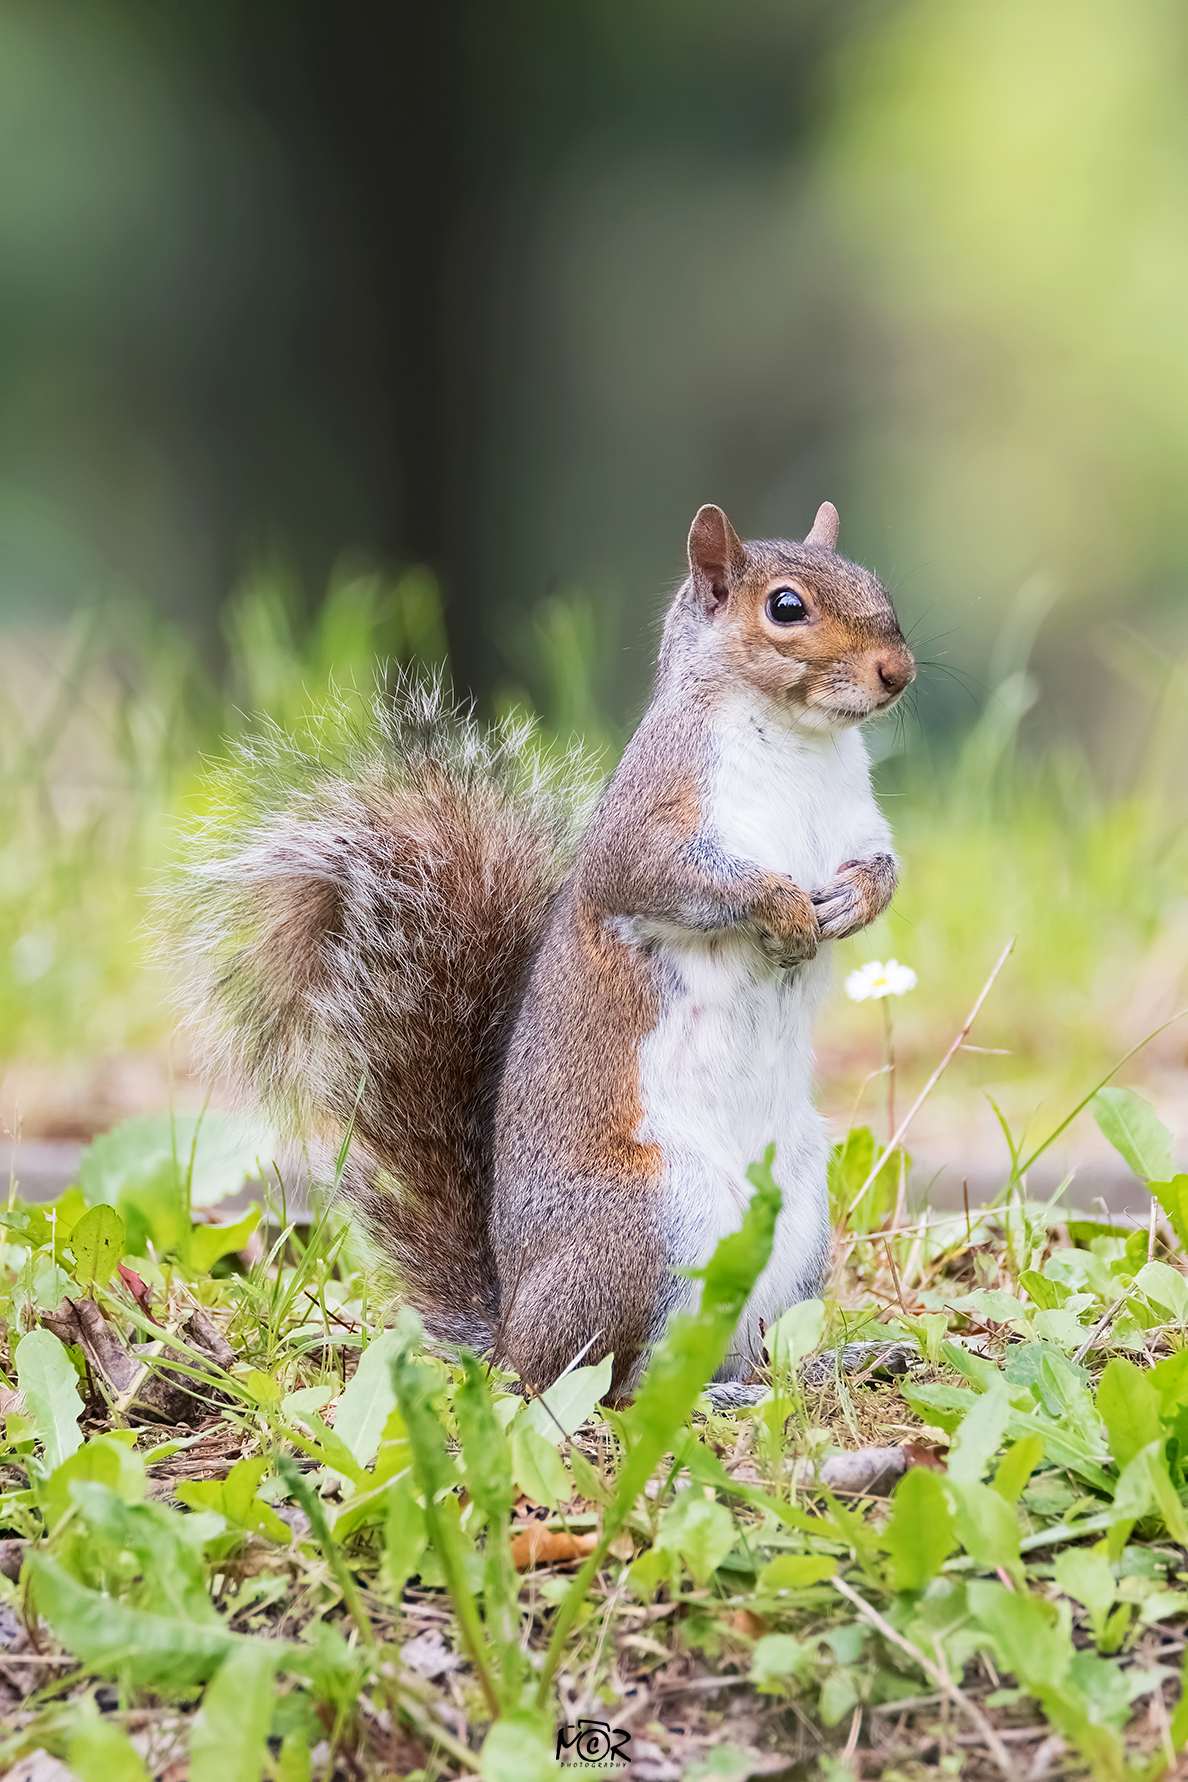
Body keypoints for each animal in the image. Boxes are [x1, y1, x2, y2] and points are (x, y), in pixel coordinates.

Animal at [181, 500, 914, 1401]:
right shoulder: (649, 825)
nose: (897, 671)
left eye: (876, 582)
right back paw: (712, 1392)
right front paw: (782, 910)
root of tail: (509, 1335)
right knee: (613, 1386)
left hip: (800, 1216)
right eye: (786, 607)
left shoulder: (858, 823)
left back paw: (822, 1367)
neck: (801, 743)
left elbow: (882, 869)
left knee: (750, 1343)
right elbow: (666, 879)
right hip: (649, 1227)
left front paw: (852, 901)